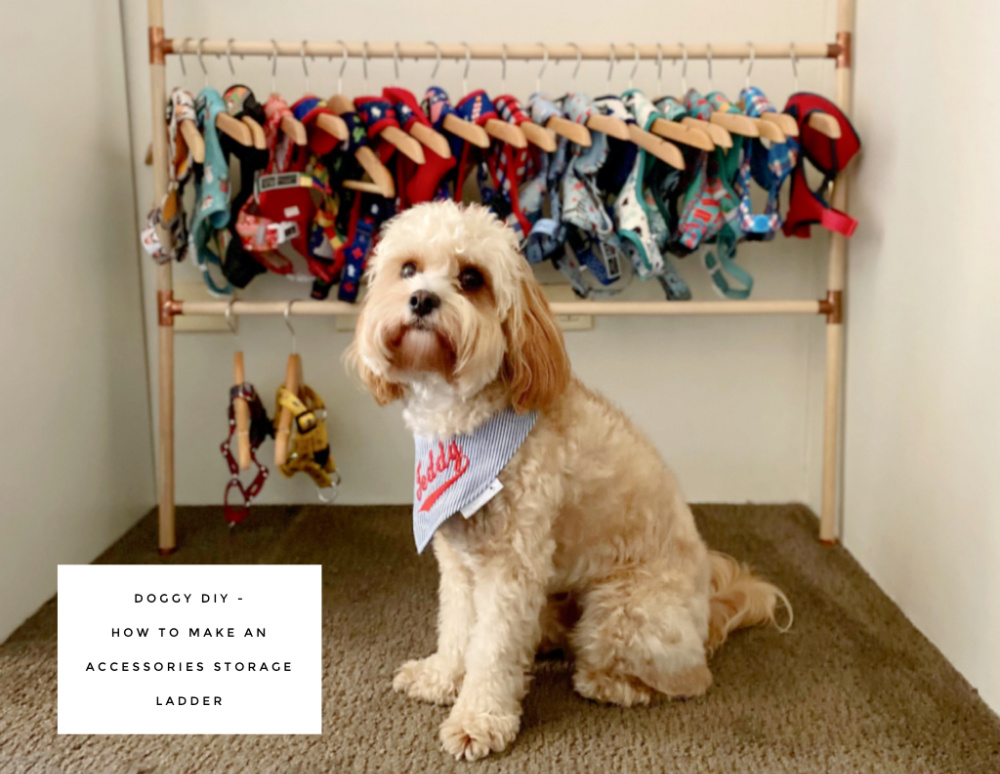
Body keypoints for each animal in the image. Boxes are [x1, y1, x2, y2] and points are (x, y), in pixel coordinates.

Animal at [348, 202, 792, 764]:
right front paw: (442, 677)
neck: (465, 424)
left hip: (622, 613)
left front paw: (477, 719)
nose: (422, 299)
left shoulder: (511, 566)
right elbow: (457, 627)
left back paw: (610, 682)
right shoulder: (460, 562)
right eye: (407, 268)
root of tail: (708, 613)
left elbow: (491, 649)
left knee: (688, 679)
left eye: (471, 278)